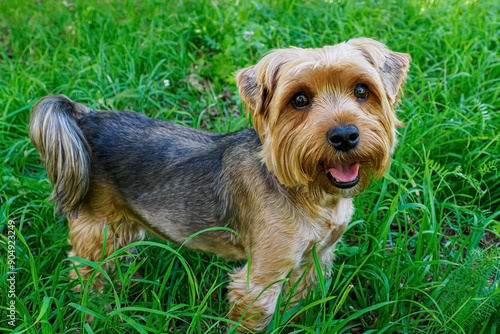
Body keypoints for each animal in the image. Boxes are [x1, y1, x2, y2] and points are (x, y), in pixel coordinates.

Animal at [28, 37, 410, 330]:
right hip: (98, 225)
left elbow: (299, 302)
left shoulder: (314, 259)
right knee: (86, 269)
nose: (344, 135)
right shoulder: (259, 281)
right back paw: (97, 309)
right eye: (299, 100)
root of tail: (85, 118)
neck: (310, 192)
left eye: (362, 91)